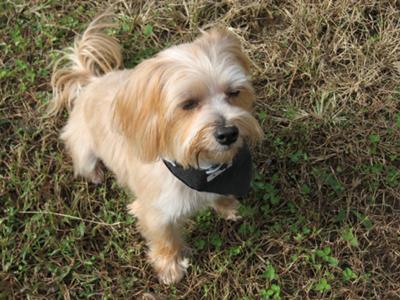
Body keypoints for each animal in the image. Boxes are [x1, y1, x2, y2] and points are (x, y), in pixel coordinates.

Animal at [50, 12, 262, 284]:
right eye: (188, 104)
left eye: (234, 92)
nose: (228, 133)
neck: (200, 168)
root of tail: (91, 81)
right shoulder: (156, 213)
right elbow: (165, 241)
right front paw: (170, 268)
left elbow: (223, 196)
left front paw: (229, 208)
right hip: (83, 147)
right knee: (84, 162)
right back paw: (95, 174)